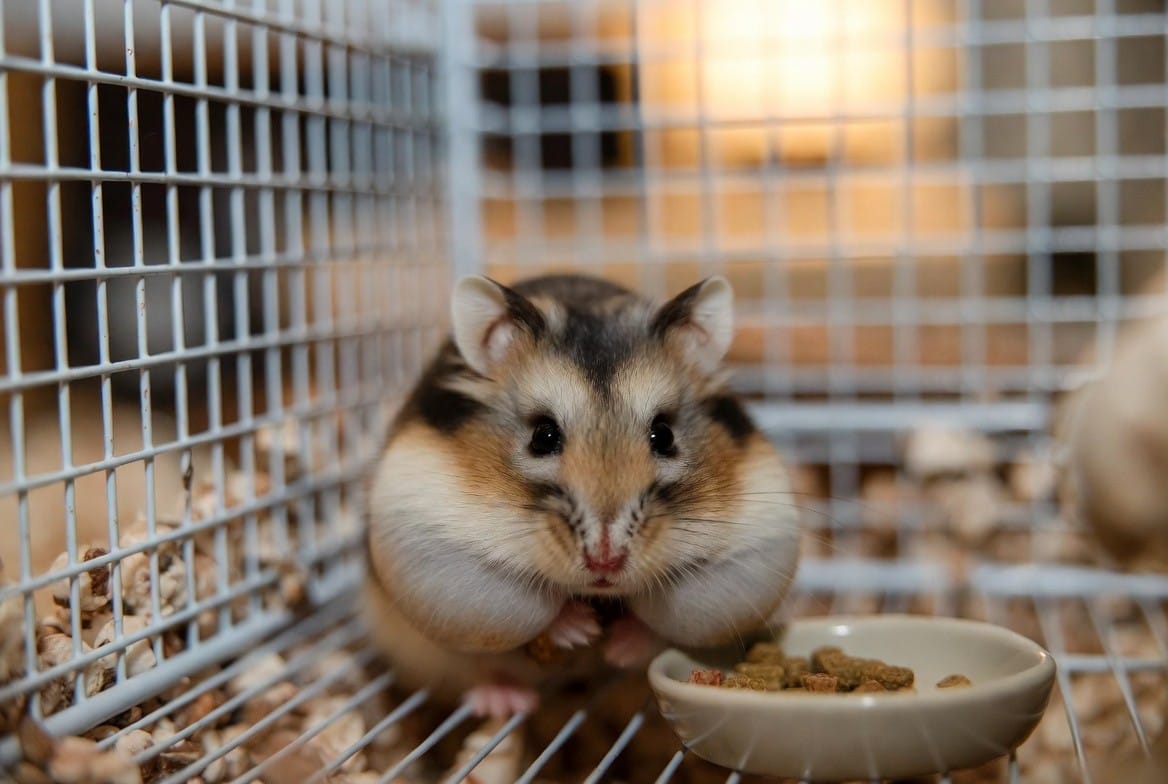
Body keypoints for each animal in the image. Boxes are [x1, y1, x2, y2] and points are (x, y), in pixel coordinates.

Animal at [362, 273, 800, 717]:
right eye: (543, 436)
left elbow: (659, 622)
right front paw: (581, 629)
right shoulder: (433, 543)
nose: (605, 561)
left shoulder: (754, 546)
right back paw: (505, 702)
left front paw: (619, 646)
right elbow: (532, 611)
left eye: (664, 435)